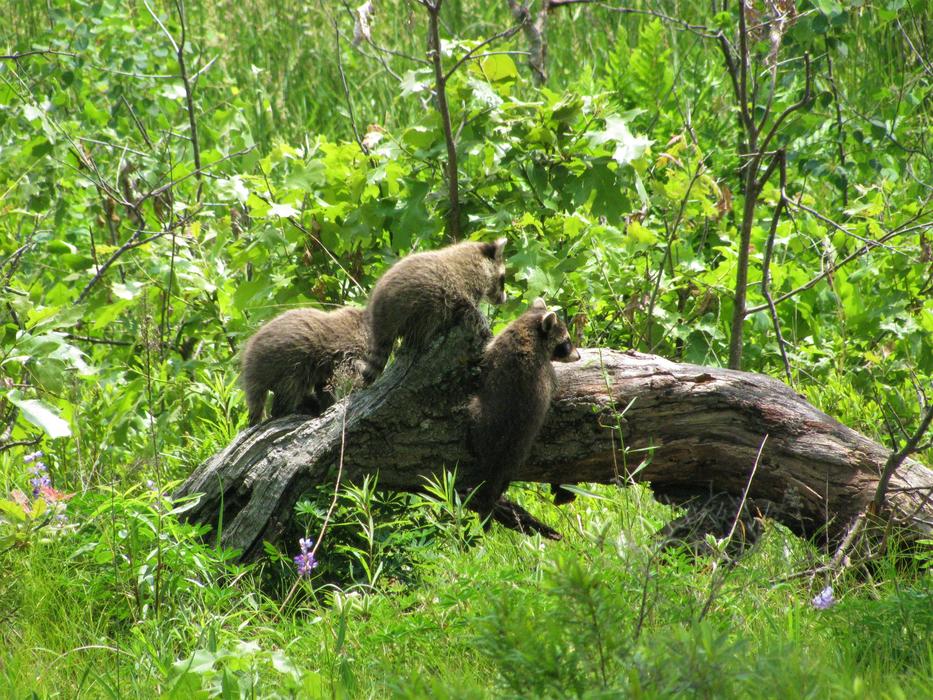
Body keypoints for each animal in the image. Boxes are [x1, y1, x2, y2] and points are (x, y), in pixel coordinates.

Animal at [361, 238, 507, 383]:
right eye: (502, 279)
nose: (504, 300)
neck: (479, 259)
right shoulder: (466, 284)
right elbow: (470, 310)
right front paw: (483, 323)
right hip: (418, 300)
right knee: (433, 312)